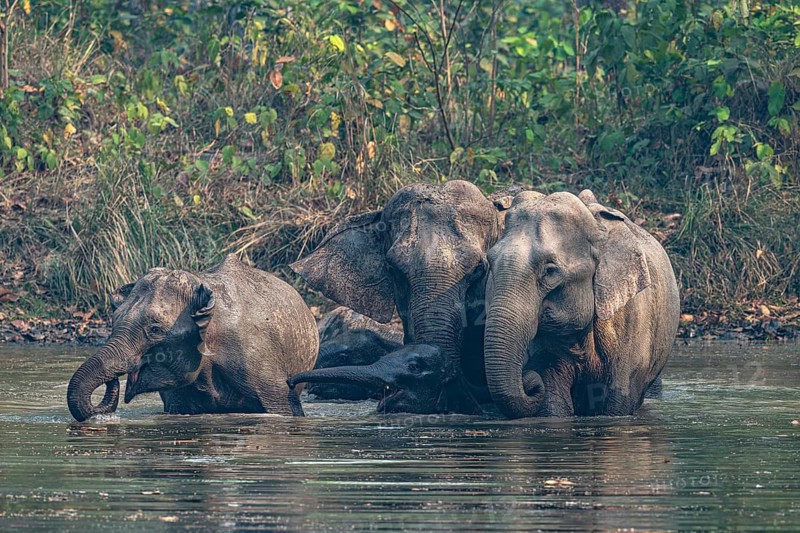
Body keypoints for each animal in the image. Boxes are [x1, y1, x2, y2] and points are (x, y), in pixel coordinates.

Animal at [483, 190, 680, 418]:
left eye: (550, 270)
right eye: (491, 262)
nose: (528, 381)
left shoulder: (634, 323)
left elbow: (618, 402)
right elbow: (552, 399)